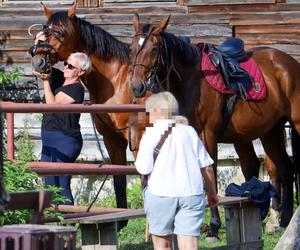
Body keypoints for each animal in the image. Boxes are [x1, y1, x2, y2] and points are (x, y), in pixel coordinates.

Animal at [129, 14, 300, 238]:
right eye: (131, 47)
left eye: (155, 49)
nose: (137, 87)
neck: (190, 81)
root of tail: (290, 63)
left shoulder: (207, 134)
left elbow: (209, 172)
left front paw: (214, 226)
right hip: (271, 131)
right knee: (286, 170)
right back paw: (285, 221)